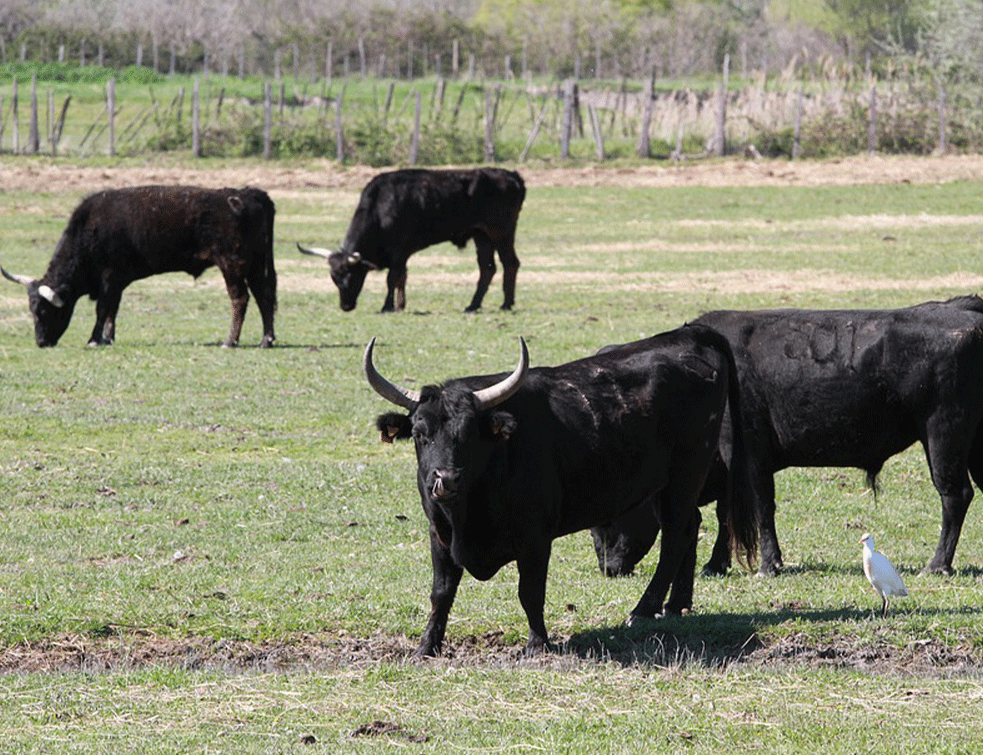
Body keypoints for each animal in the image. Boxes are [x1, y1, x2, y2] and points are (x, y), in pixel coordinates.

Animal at [1, 186, 276, 348]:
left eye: (44, 311)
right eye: (31, 309)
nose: (40, 342)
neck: (89, 229)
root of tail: (249, 193)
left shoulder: (109, 278)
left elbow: (102, 309)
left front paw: (94, 339)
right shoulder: (116, 282)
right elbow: (112, 310)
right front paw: (108, 338)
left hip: (232, 265)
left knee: (240, 299)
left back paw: (231, 340)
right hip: (256, 266)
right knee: (264, 296)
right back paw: (267, 339)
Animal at [296, 168, 524, 314]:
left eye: (352, 275)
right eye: (334, 278)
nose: (345, 307)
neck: (380, 206)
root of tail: (512, 175)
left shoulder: (399, 252)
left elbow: (392, 278)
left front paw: (387, 306)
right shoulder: (401, 256)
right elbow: (401, 278)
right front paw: (400, 305)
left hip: (501, 233)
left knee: (510, 263)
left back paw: (506, 303)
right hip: (481, 235)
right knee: (487, 268)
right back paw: (473, 305)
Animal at [366, 328, 756, 660]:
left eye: (469, 433)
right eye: (420, 433)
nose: (445, 480)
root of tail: (688, 334)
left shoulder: (536, 538)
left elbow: (530, 591)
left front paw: (538, 643)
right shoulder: (439, 535)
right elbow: (441, 593)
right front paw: (426, 646)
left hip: (684, 475)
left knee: (676, 536)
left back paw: (643, 610)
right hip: (662, 486)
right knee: (689, 528)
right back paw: (676, 605)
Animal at [592, 296, 983, 580]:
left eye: (608, 518)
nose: (608, 569)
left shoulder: (749, 458)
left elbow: (759, 509)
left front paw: (768, 565)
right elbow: (727, 513)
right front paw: (716, 564)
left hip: (942, 434)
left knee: (955, 495)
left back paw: (937, 564)